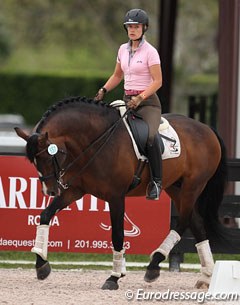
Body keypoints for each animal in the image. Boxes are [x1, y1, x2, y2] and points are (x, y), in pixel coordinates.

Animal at [15, 95, 233, 290]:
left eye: (49, 156)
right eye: (33, 161)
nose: (50, 190)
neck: (95, 139)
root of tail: (207, 128)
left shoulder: (116, 196)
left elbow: (118, 234)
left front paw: (114, 277)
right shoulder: (75, 191)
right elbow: (45, 215)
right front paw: (41, 264)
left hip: (192, 186)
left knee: (184, 221)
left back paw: (154, 265)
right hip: (175, 187)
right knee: (196, 222)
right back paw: (206, 276)